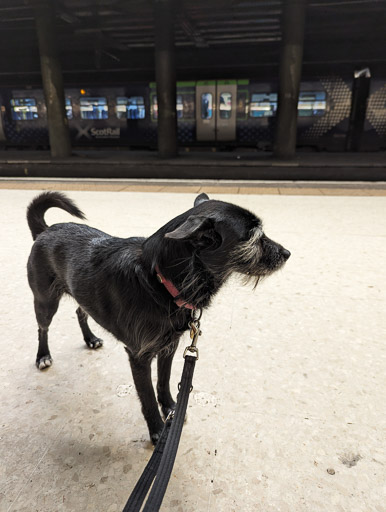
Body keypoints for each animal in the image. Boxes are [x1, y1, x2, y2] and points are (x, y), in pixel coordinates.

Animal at [27, 192, 292, 444]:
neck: (159, 281)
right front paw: (156, 429)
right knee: (42, 328)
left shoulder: (169, 347)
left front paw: (172, 409)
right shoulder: (139, 357)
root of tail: (45, 230)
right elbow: (146, 398)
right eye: (252, 237)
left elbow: (164, 381)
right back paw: (43, 356)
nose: (287, 253)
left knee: (80, 311)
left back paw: (90, 339)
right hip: (45, 301)